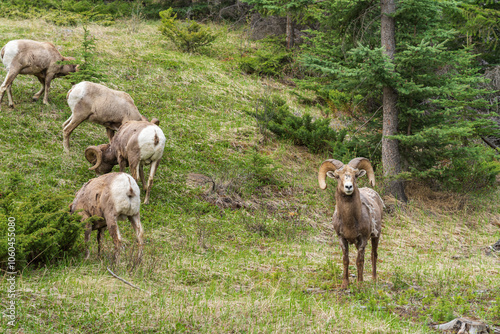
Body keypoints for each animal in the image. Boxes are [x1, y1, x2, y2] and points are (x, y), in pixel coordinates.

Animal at [318, 158, 384, 288]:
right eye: (338, 176)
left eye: (355, 175)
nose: (348, 187)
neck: (350, 222)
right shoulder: (342, 238)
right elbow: (346, 260)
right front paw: (345, 284)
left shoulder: (363, 239)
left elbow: (359, 261)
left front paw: (360, 284)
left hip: (376, 235)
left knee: (373, 255)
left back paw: (374, 280)